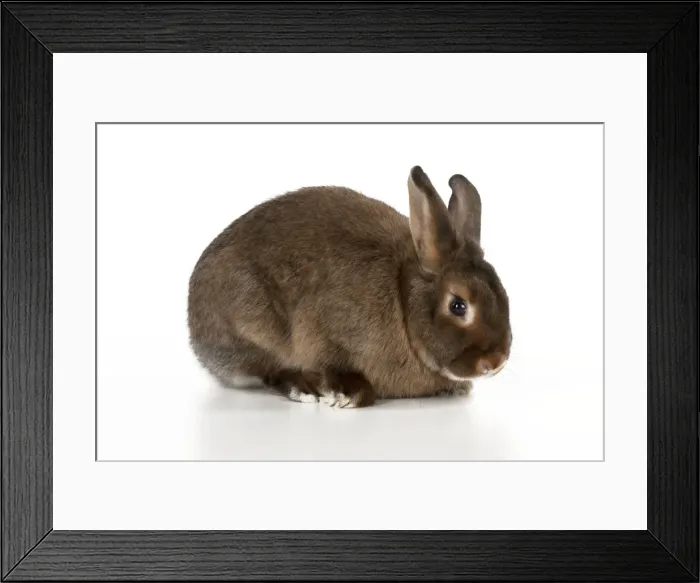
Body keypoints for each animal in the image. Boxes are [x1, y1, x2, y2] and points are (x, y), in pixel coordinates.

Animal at [187, 166, 512, 408]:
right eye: (458, 305)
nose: (496, 361)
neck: (403, 301)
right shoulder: (326, 333)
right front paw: (349, 395)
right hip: (252, 324)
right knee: (270, 370)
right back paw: (307, 389)